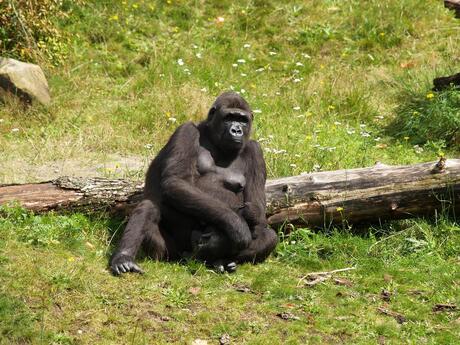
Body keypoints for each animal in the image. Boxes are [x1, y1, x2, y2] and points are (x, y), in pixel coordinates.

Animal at [110, 91, 276, 274]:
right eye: (228, 117)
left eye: (242, 120)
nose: (236, 130)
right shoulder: (186, 130)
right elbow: (176, 181)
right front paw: (236, 226)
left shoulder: (256, 151)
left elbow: (257, 209)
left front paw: (219, 241)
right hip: (172, 253)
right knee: (149, 207)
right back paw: (124, 258)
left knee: (269, 236)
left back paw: (220, 260)